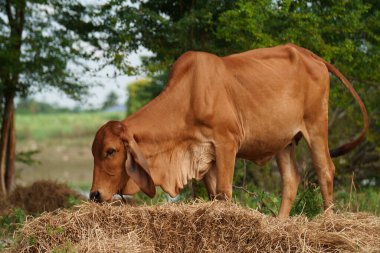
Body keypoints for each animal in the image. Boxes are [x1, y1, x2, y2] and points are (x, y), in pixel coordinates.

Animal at [90, 43, 368, 217]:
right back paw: (280, 224)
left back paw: (328, 221)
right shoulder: (206, 155)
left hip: (316, 125)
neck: (190, 96)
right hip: (285, 141)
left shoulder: (227, 143)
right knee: (292, 179)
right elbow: (214, 195)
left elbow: (224, 193)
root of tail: (311, 55)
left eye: (111, 151)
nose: (94, 195)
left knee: (325, 170)